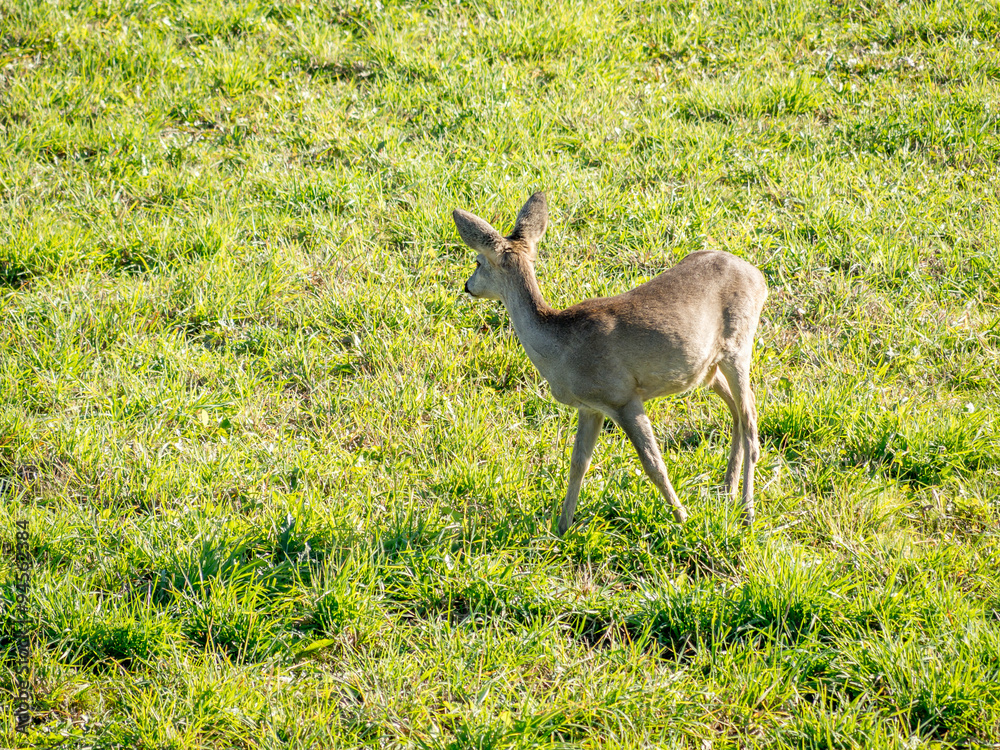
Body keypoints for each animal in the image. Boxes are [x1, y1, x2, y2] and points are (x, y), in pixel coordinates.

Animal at [454, 193, 768, 536]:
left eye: (478, 261)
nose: (467, 285)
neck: (561, 347)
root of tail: (759, 277)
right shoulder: (590, 406)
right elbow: (578, 463)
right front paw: (562, 528)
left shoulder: (622, 396)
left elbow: (653, 464)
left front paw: (682, 519)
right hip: (707, 368)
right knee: (737, 412)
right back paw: (728, 491)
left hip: (739, 345)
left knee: (750, 419)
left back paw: (747, 511)